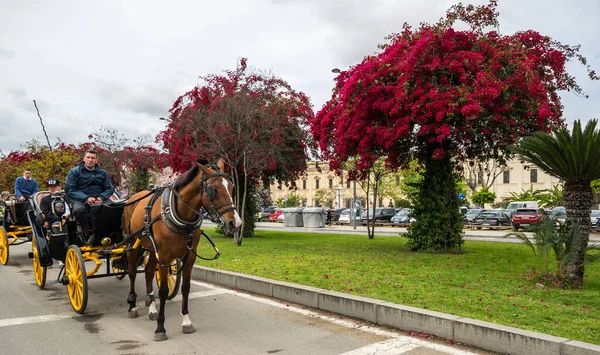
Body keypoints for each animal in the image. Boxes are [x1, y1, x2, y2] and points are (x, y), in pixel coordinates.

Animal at [122, 160, 241, 340]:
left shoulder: (189, 256)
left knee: (149, 272)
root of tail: (133, 198)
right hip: (133, 244)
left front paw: (186, 321)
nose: (236, 223)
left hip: (152, 249)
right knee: (132, 273)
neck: (180, 214)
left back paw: (152, 308)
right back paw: (133, 306)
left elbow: (185, 287)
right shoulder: (164, 257)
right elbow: (164, 291)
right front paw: (160, 327)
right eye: (213, 189)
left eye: (232, 188)